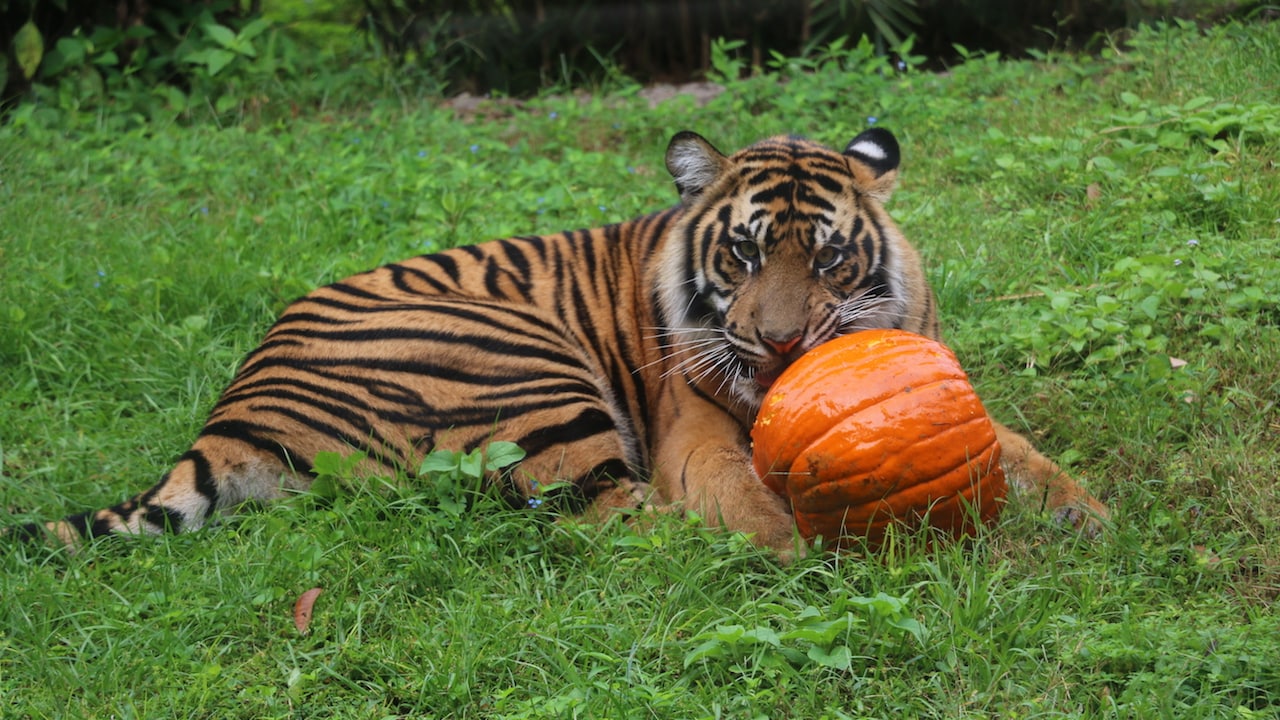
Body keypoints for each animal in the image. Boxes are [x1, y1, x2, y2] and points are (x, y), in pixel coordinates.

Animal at [10, 128, 1105, 556]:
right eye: (745, 253)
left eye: (830, 258)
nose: (779, 342)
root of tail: (230, 412)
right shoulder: (695, 435)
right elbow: (744, 503)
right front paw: (795, 547)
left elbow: (1021, 454)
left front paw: (1086, 515)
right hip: (523, 370)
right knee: (616, 519)